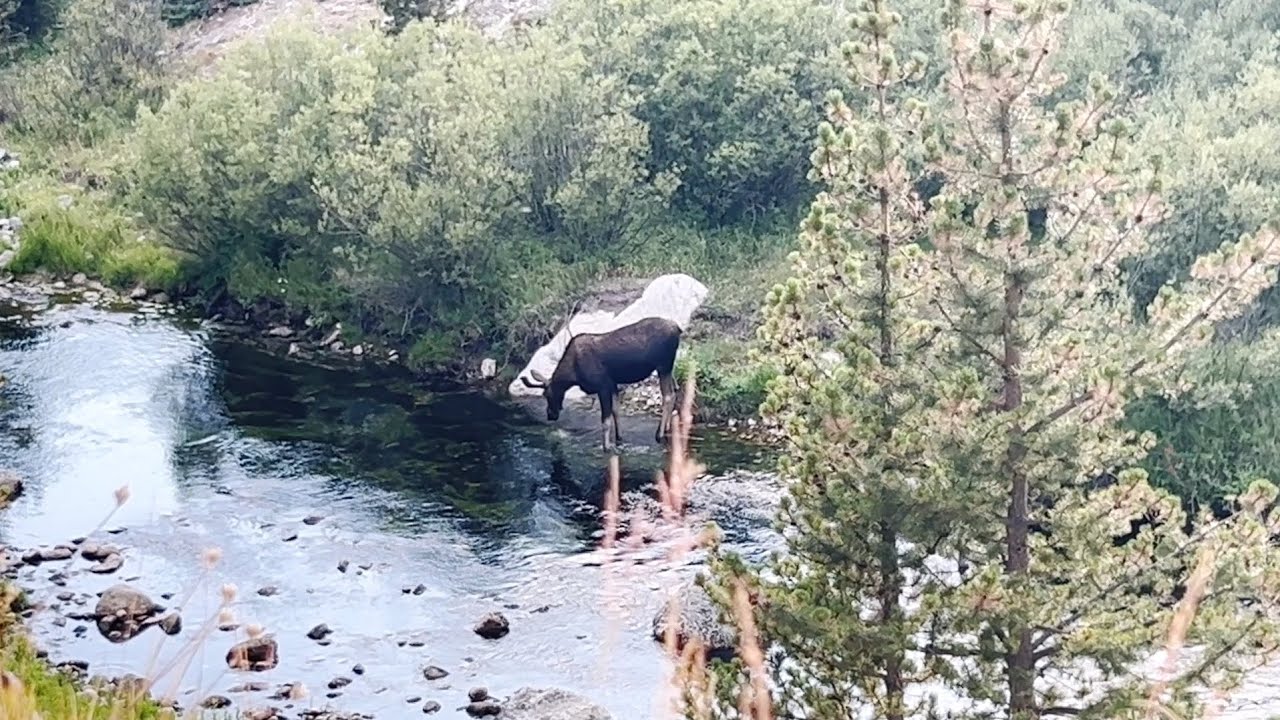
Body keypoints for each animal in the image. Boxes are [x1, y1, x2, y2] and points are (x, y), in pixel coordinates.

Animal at [519, 316, 683, 453]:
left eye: (547, 394)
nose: (550, 414)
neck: (573, 374)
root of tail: (678, 329)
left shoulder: (602, 386)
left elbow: (605, 420)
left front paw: (606, 447)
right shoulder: (612, 384)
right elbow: (616, 411)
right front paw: (618, 438)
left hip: (663, 365)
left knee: (668, 396)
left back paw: (659, 434)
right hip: (668, 367)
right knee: (675, 391)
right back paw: (667, 428)